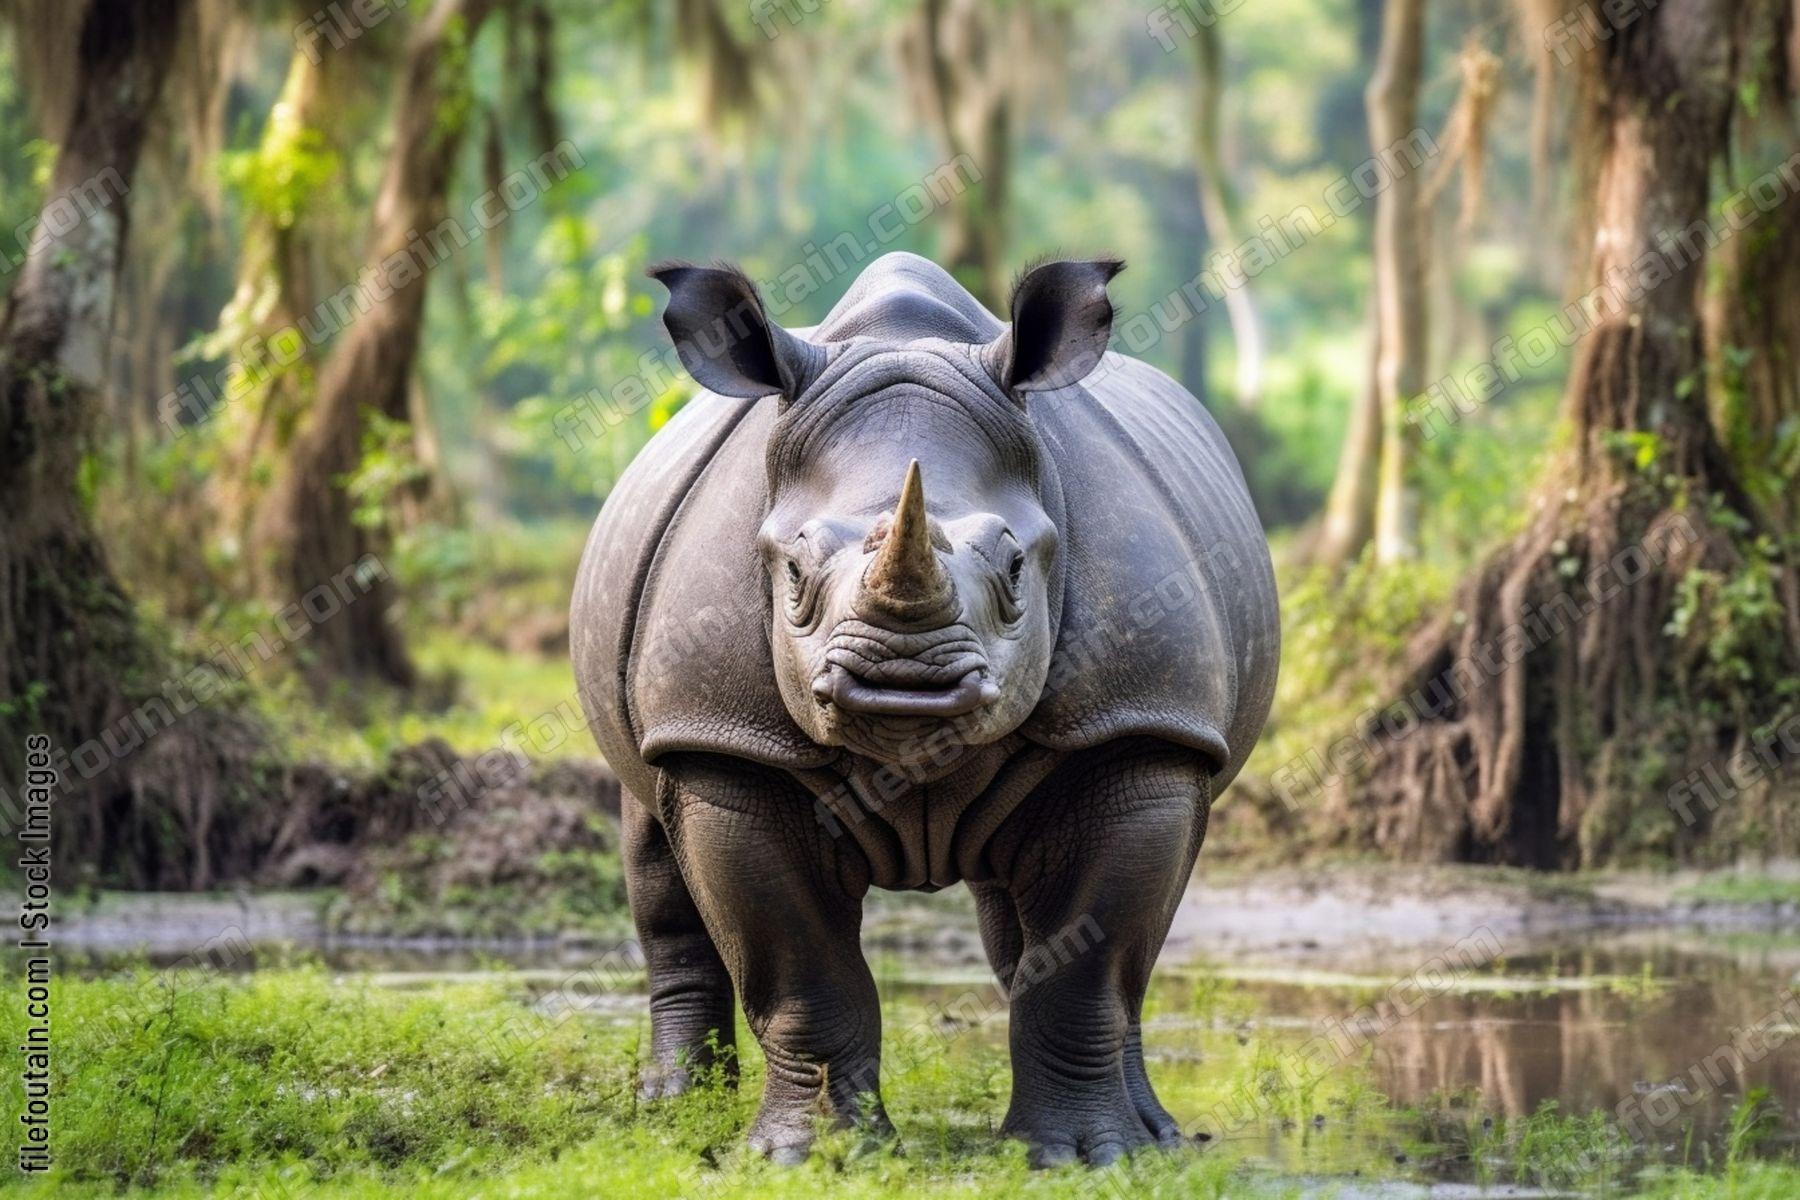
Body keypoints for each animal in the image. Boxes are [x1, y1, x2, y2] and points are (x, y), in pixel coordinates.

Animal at [571, 251, 1278, 1166]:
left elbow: (1086, 960)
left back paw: (1154, 1140)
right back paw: (673, 1113)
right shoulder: (722, 735)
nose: (902, 681)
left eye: (1016, 567)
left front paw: (1083, 1157)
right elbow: (799, 970)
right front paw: (812, 1158)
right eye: (792, 573)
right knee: (653, 849)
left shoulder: (1138, 722)